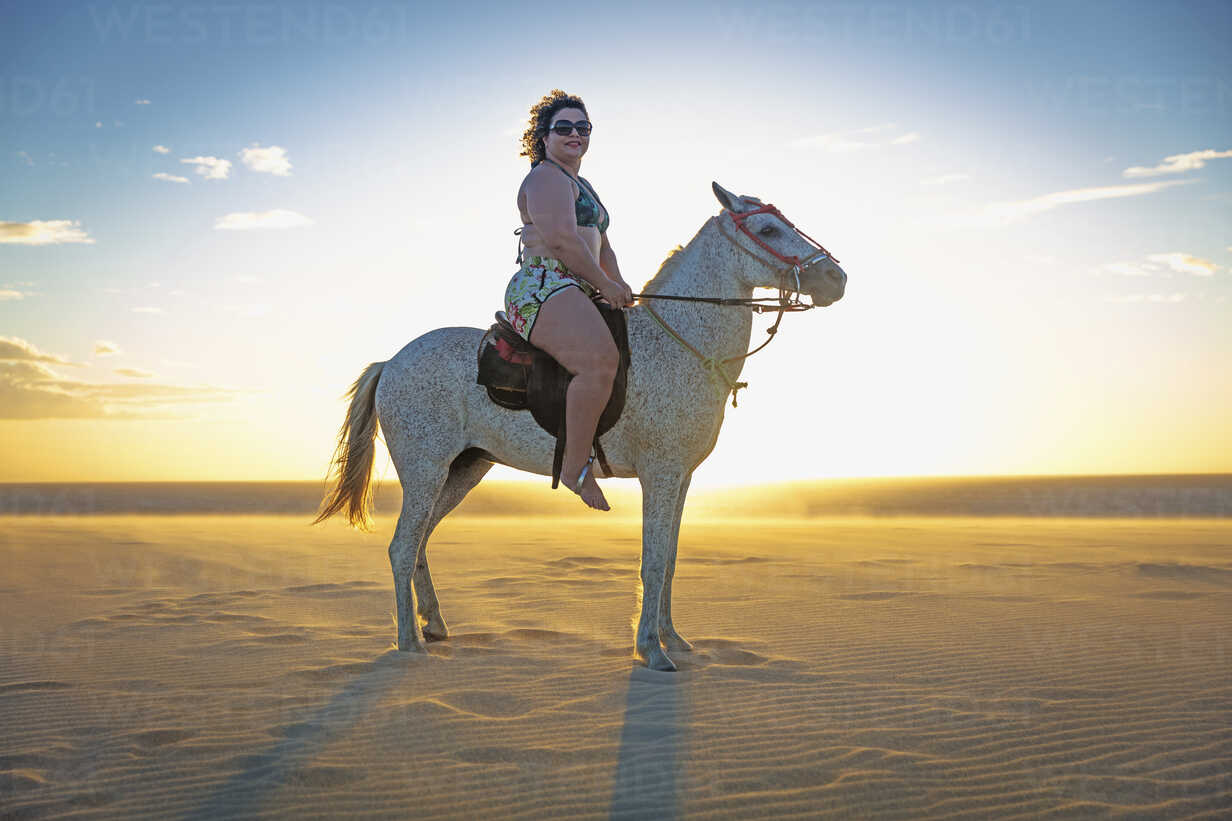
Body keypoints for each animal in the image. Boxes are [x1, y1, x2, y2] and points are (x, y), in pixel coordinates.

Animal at [312, 182, 842, 670]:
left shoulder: (682, 478)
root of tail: (391, 362)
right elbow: (652, 562)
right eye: (768, 229)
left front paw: (674, 639)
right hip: (426, 469)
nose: (836, 278)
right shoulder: (660, 475)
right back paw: (410, 643)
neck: (682, 343)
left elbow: (670, 560)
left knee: (421, 541)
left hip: (464, 469)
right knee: (403, 547)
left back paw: (435, 624)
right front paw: (651, 650)